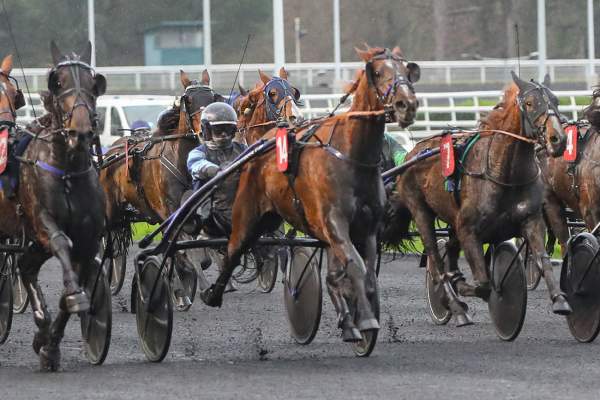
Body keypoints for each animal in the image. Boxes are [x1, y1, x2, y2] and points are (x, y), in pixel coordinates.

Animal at [0, 42, 105, 370]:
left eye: (94, 84)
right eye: (57, 82)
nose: (80, 132)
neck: (68, 171)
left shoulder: (88, 239)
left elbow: (69, 295)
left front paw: (49, 345)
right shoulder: (43, 222)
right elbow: (61, 240)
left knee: (26, 266)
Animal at [199, 47, 420, 346]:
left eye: (295, 91)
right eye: (271, 94)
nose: (406, 104)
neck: (350, 153)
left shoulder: (363, 228)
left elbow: (359, 271)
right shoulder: (333, 223)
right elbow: (351, 267)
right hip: (248, 214)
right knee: (233, 247)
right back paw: (213, 289)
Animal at [386, 72, 568, 328]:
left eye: (556, 100)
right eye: (530, 103)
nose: (557, 139)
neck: (504, 174)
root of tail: (412, 153)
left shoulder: (531, 220)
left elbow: (543, 261)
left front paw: (560, 300)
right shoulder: (468, 229)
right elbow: (483, 284)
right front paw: (461, 289)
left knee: (449, 249)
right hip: (420, 211)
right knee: (435, 259)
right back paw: (454, 305)